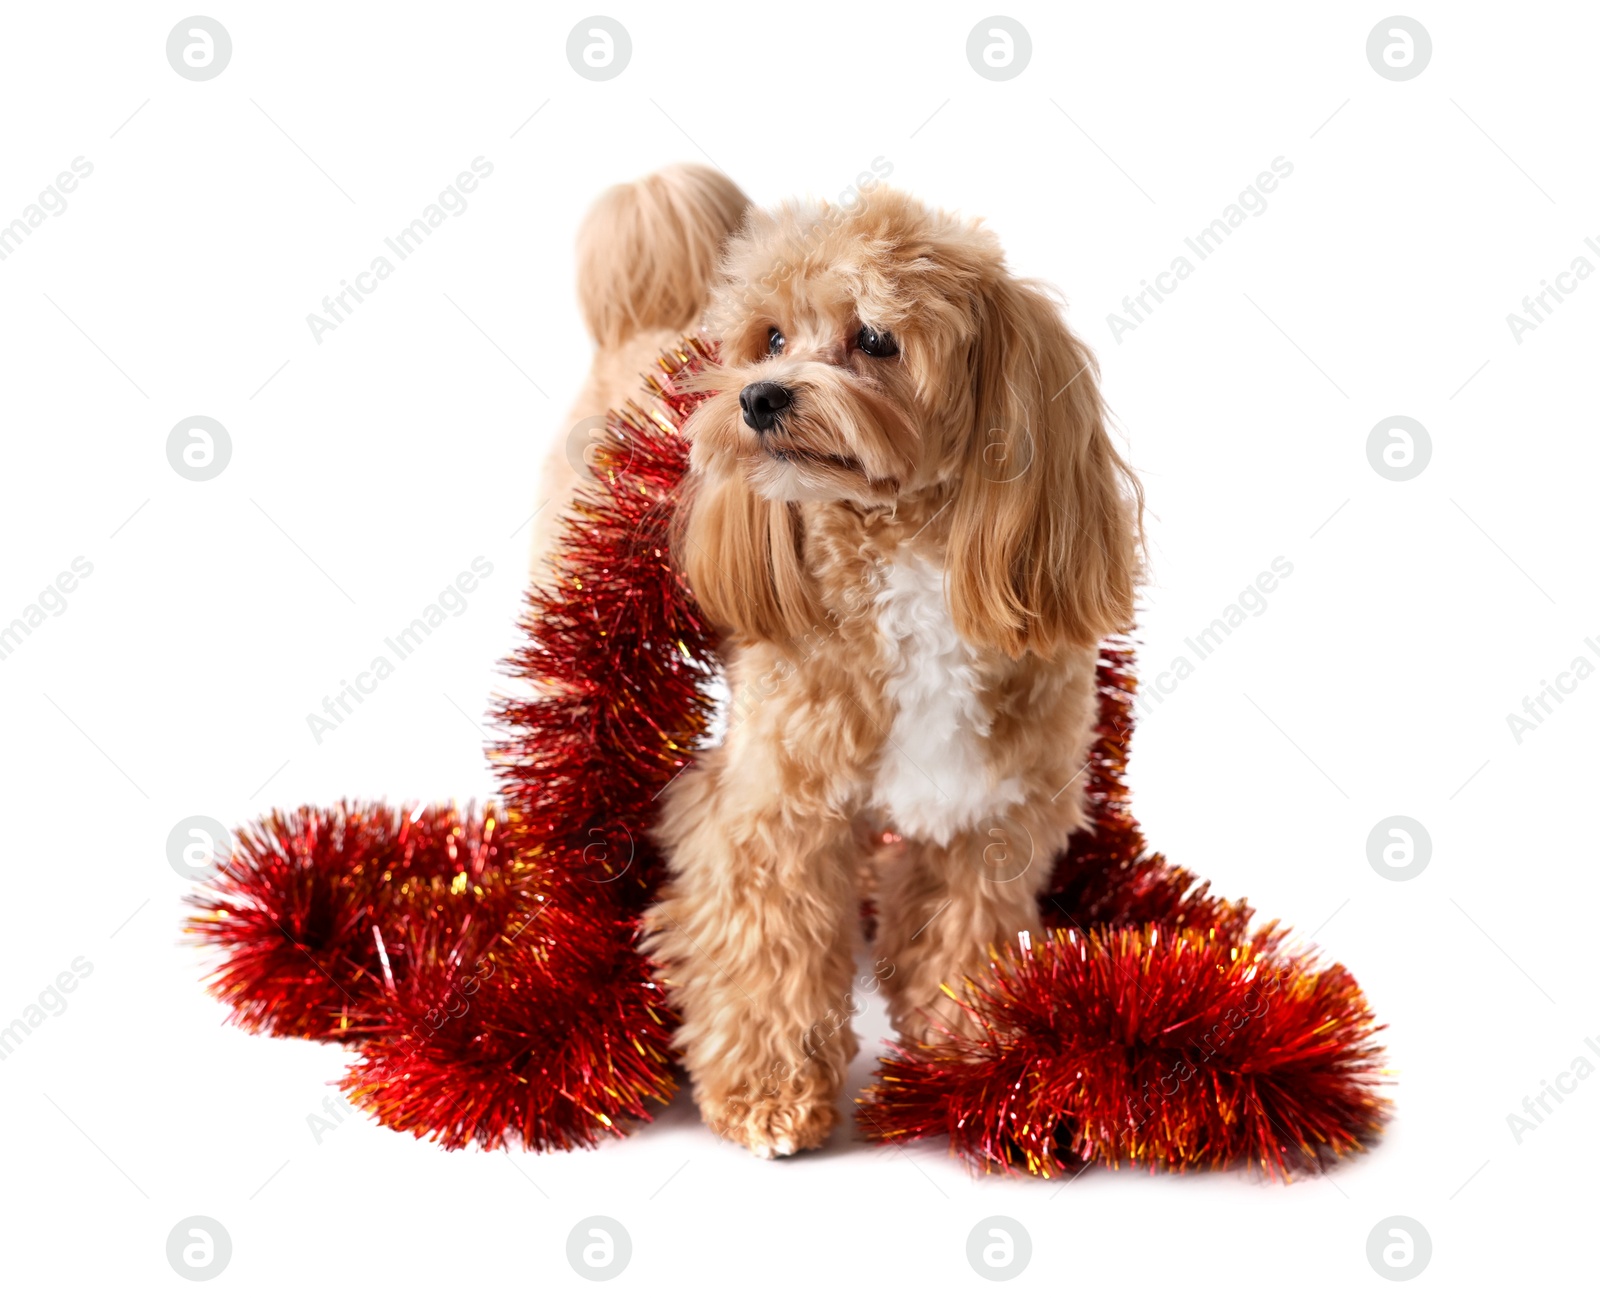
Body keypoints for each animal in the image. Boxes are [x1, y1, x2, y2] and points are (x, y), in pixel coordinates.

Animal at [544, 170, 1145, 1158]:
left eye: (875, 339)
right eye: (773, 338)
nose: (758, 397)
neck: (909, 558)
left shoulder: (989, 810)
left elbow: (961, 937)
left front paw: (971, 1065)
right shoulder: (774, 808)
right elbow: (765, 948)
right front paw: (770, 1096)